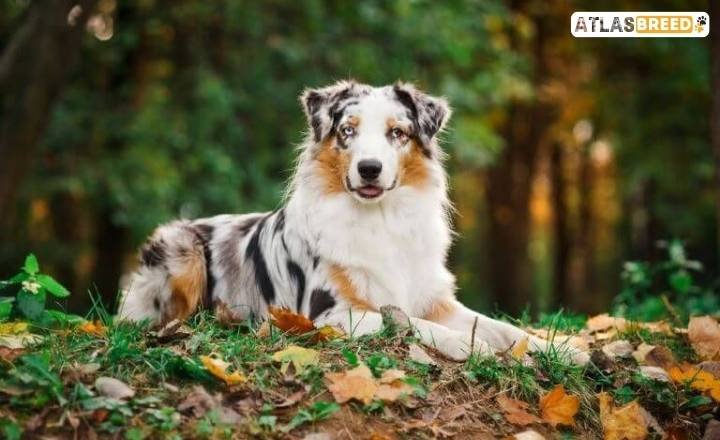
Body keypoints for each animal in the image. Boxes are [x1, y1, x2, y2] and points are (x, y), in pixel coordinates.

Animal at [118, 80, 588, 364]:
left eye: (397, 133)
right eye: (347, 130)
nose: (369, 168)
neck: (380, 219)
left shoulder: (436, 299)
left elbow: (500, 327)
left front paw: (564, 349)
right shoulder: (329, 313)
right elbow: (408, 322)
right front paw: (463, 345)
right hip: (181, 250)